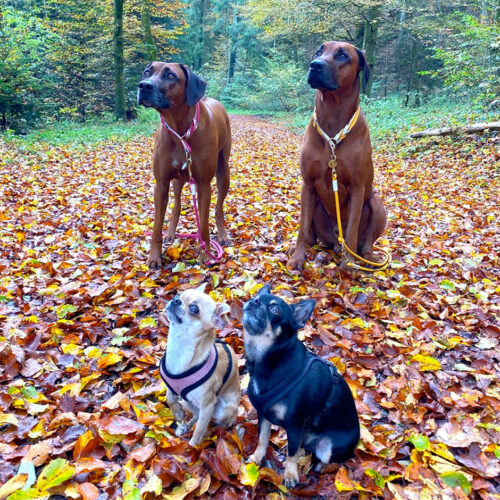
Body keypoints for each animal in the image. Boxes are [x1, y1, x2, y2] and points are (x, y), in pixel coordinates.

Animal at [137, 63, 230, 270]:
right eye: (147, 72)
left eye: (171, 76)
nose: (144, 86)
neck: (180, 131)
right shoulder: (161, 184)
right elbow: (157, 227)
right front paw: (154, 257)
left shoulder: (203, 185)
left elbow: (203, 225)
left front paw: (204, 254)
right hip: (178, 180)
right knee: (177, 205)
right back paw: (171, 233)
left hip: (224, 172)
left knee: (218, 209)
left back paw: (222, 234)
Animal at [159, 288, 239, 448]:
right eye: (178, 295)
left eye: (194, 309)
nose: (176, 300)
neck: (179, 350)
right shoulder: (171, 386)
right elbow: (169, 397)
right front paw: (177, 413)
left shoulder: (207, 405)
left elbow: (199, 430)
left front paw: (191, 447)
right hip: (187, 401)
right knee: (196, 415)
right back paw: (185, 426)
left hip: (222, 409)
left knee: (219, 422)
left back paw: (213, 431)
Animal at [242, 286, 360, 488]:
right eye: (255, 297)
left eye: (275, 309)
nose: (254, 301)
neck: (268, 362)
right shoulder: (263, 416)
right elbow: (262, 439)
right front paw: (257, 458)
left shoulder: (294, 425)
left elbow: (291, 455)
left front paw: (290, 475)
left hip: (328, 447)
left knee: (333, 459)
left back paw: (321, 466)